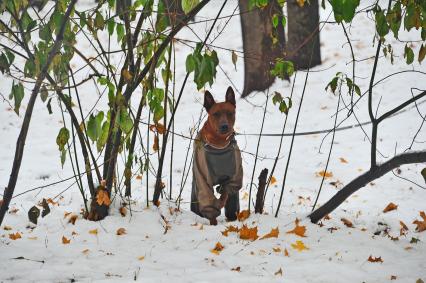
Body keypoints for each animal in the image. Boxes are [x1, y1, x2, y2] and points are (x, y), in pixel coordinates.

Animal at [191, 86, 241, 226]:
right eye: (216, 114)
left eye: (230, 113)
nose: (224, 126)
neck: (219, 144)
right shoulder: (203, 177)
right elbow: (209, 199)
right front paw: (213, 222)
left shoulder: (234, 176)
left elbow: (227, 190)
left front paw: (221, 199)